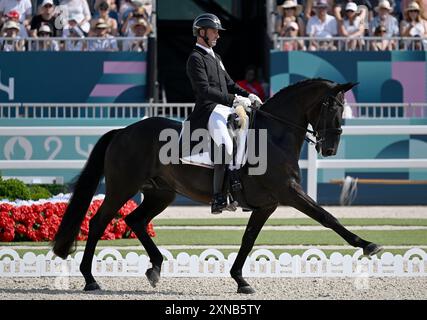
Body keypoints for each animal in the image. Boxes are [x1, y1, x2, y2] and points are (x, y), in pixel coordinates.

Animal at [51, 79, 382, 294]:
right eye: (331, 106)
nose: (330, 148)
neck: (273, 136)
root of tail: (123, 131)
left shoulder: (268, 204)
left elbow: (248, 240)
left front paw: (240, 280)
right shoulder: (289, 192)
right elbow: (328, 217)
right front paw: (368, 245)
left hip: (161, 193)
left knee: (135, 220)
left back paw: (155, 268)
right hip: (122, 188)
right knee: (98, 223)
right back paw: (90, 279)